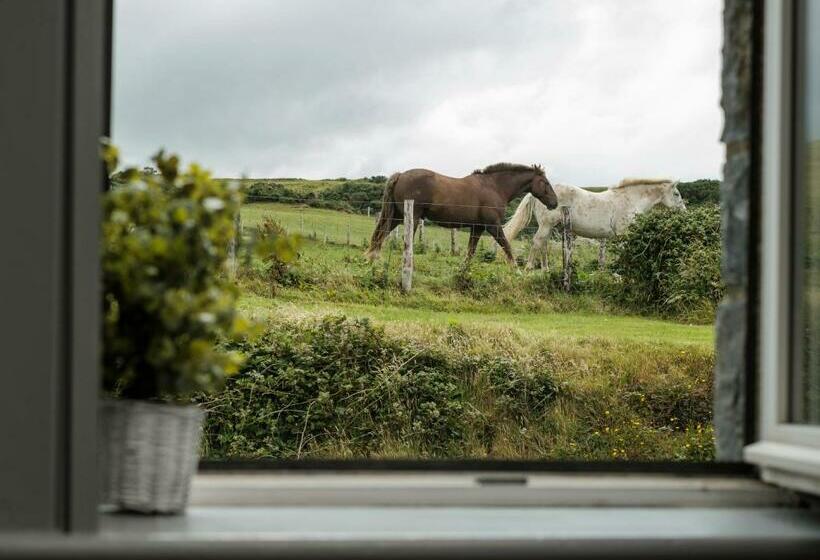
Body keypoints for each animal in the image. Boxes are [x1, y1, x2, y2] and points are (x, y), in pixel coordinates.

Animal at [368, 164, 560, 264]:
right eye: (545, 182)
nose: (555, 203)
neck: (495, 187)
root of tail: (400, 175)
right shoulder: (492, 226)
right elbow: (506, 246)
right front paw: (516, 270)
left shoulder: (478, 228)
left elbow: (470, 252)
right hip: (411, 218)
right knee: (400, 240)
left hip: (397, 217)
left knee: (380, 235)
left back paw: (373, 259)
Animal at [502, 177, 688, 270]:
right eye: (677, 194)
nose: (684, 212)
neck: (630, 200)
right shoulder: (623, 234)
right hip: (546, 225)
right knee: (537, 243)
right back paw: (528, 269)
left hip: (548, 227)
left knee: (543, 245)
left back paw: (545, 270)